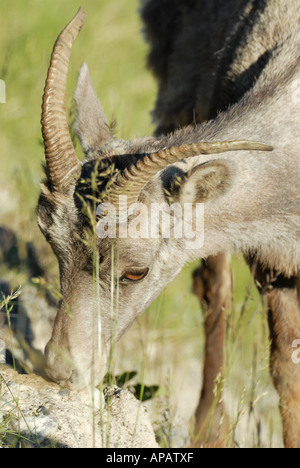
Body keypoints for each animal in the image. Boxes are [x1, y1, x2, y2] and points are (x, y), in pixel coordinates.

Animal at [39, 5, 300, 448]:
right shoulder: (276, 269)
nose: (61, 371)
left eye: (135, 272)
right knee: (214, 292)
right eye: (52, 241)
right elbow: (287, 371)